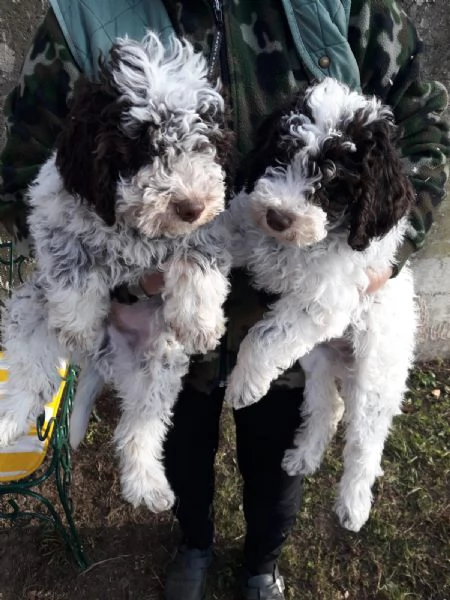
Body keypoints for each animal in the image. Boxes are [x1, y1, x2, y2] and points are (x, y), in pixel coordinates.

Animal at [0, 31, 232, 510]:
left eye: (203, 141)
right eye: (142, 145)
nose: (189, 206)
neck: (134, 227)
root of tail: (103, 354)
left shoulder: (214, 222)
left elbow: (199, 256)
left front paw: (199, 321)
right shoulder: (54, 206)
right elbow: (73, 260)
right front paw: (77, 319)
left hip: (157, 366)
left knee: (139, 428)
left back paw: (146, 482)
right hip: (31, 311)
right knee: (30, 383)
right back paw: (10, 421)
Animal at [227, 78, 416, 528]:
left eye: (332, 183)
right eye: (282, 155)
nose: (278, 217)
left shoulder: (325, 303)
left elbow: (265, 335)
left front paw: (243, 384)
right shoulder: (248, 228)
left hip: (375, 373)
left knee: (365, 442)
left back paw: (354, 503)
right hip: (316, 357)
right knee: (327, 407)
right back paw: (303, 456)